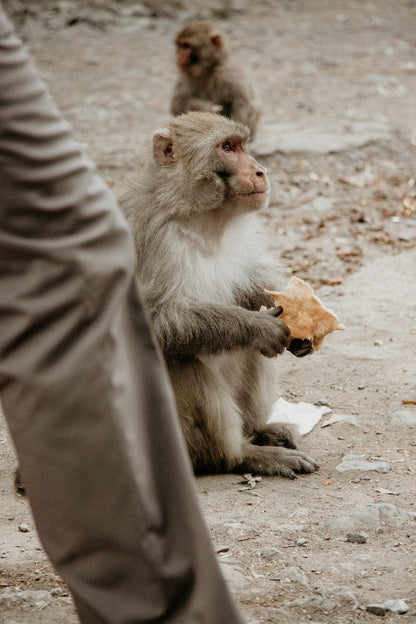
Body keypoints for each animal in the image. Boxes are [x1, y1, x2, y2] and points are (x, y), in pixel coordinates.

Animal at [120, 111, 318, 478]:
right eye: (227, 147)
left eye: (241, 145)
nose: (260, 170)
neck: (201, 217)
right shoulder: (151, 236)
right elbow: (156, 322)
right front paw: (261, 327)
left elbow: (251, 282)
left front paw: (297, 314)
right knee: (180, 358)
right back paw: (243, 454)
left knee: (253, 354)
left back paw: (260, 431)